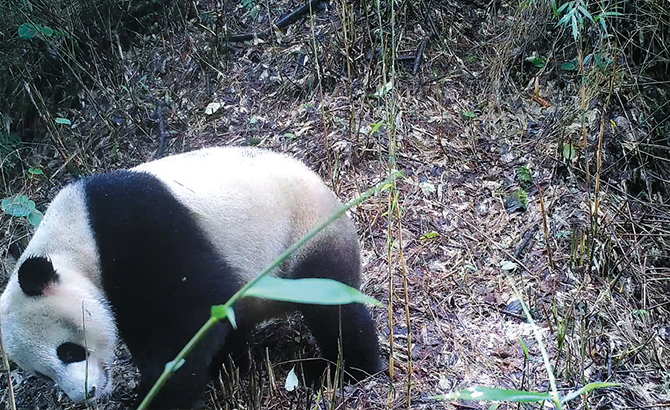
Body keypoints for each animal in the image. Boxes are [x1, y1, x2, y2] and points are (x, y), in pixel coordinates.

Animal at [0, 147, 384, 406]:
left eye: (68, 351)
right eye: (40, 373)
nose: (86, 393)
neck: (74, 241)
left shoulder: (137, 230)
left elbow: (189, 315)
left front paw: (158, 395)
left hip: (303, 234)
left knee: (332, 303)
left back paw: (347, 369)